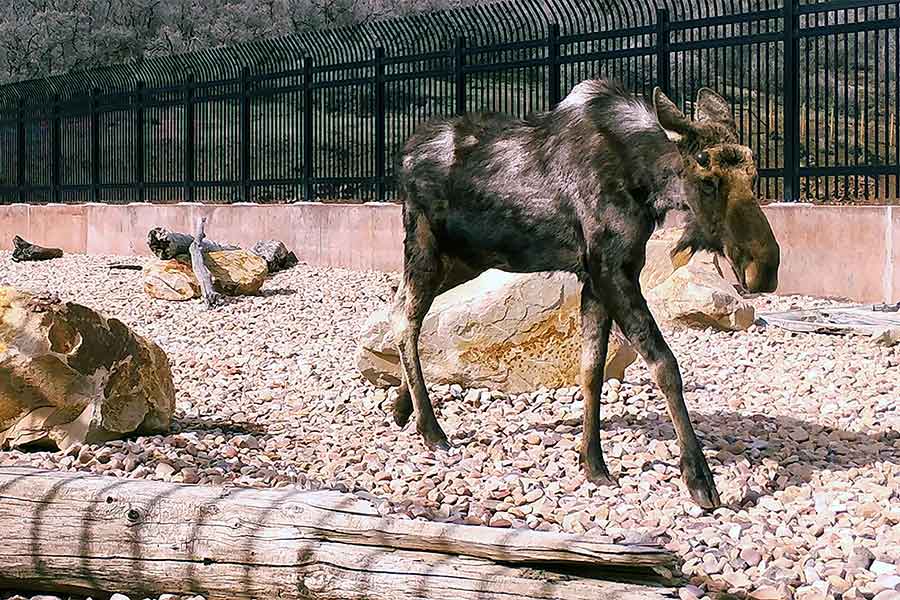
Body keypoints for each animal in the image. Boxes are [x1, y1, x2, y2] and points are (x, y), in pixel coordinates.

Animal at [388, 79, 780, 509]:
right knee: (404, 319)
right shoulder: (612, 272)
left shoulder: (597, 279)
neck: (646, 184)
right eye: (707, 179)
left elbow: (591, 369)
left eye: (754, 174)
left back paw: (403, 407)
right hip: (425, 249)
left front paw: (592, 461)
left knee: (401, 310)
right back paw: (431, 428)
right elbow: (665, 365)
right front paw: (698, 477)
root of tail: (404, 157)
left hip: (463, 261)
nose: (765, 268)